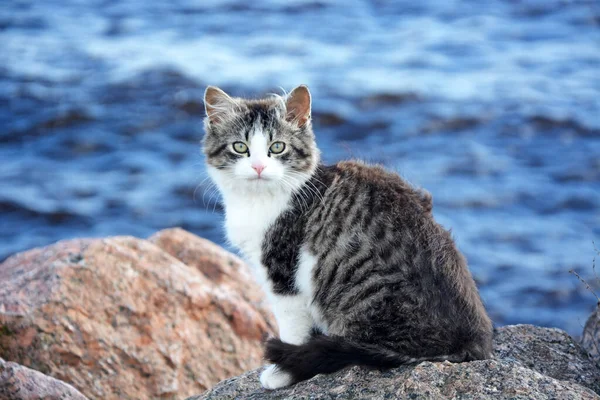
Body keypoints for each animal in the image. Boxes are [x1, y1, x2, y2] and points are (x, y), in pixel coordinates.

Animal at [202, 84, 492, 388]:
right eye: (240, 147)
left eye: (277, 147)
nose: (258, 167)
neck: (258, 200)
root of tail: (472, 341)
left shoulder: (283, 273)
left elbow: (292, 328)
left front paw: (282, 372)